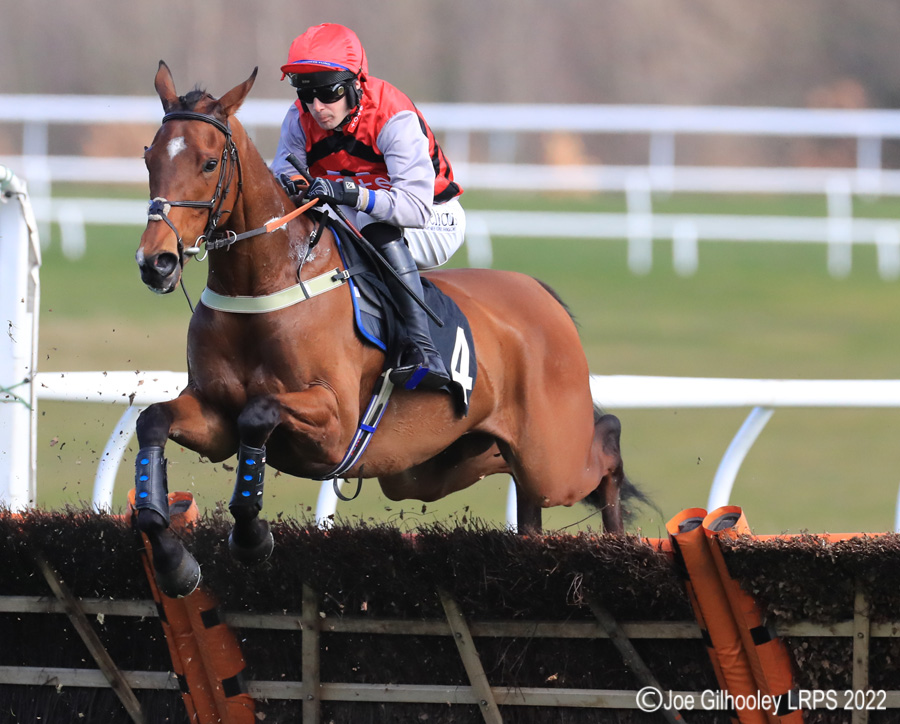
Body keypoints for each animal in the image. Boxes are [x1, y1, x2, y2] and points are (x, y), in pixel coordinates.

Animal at [134, 61, 635, 598]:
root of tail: (542, 295)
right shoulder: (214, 416)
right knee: (527, 488)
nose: (156, 262)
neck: (267, 284)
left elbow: (258, 414)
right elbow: (154, 422)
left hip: (551, 459)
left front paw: (250, 538)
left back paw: (618, 542)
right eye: (149, 158)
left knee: (606, 443)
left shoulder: (335, 425)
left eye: (209, 163)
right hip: (437, 463)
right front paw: (173, 560)